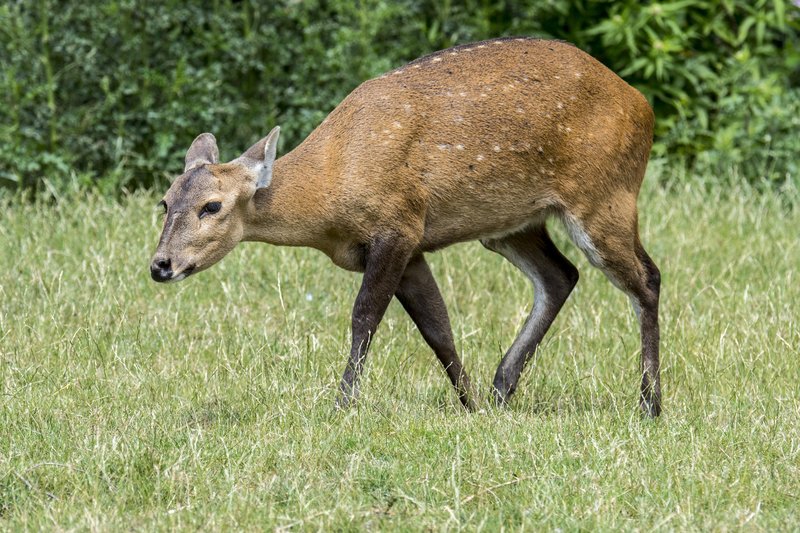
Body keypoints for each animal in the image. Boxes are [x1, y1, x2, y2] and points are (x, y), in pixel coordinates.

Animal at [152, 38, 664, 416]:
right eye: (165, 201)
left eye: (212, 206)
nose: (160, 265)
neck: (332, 185)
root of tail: (644, 107)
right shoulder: (410, 244)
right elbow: (438, 327)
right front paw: (470, 405)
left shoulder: (397, 225)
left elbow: (365, 317)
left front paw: (341, 406)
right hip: (511, 224)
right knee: (561, 276)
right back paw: (501, 389)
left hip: (604, 196)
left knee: (647, 278)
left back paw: (649, 404)